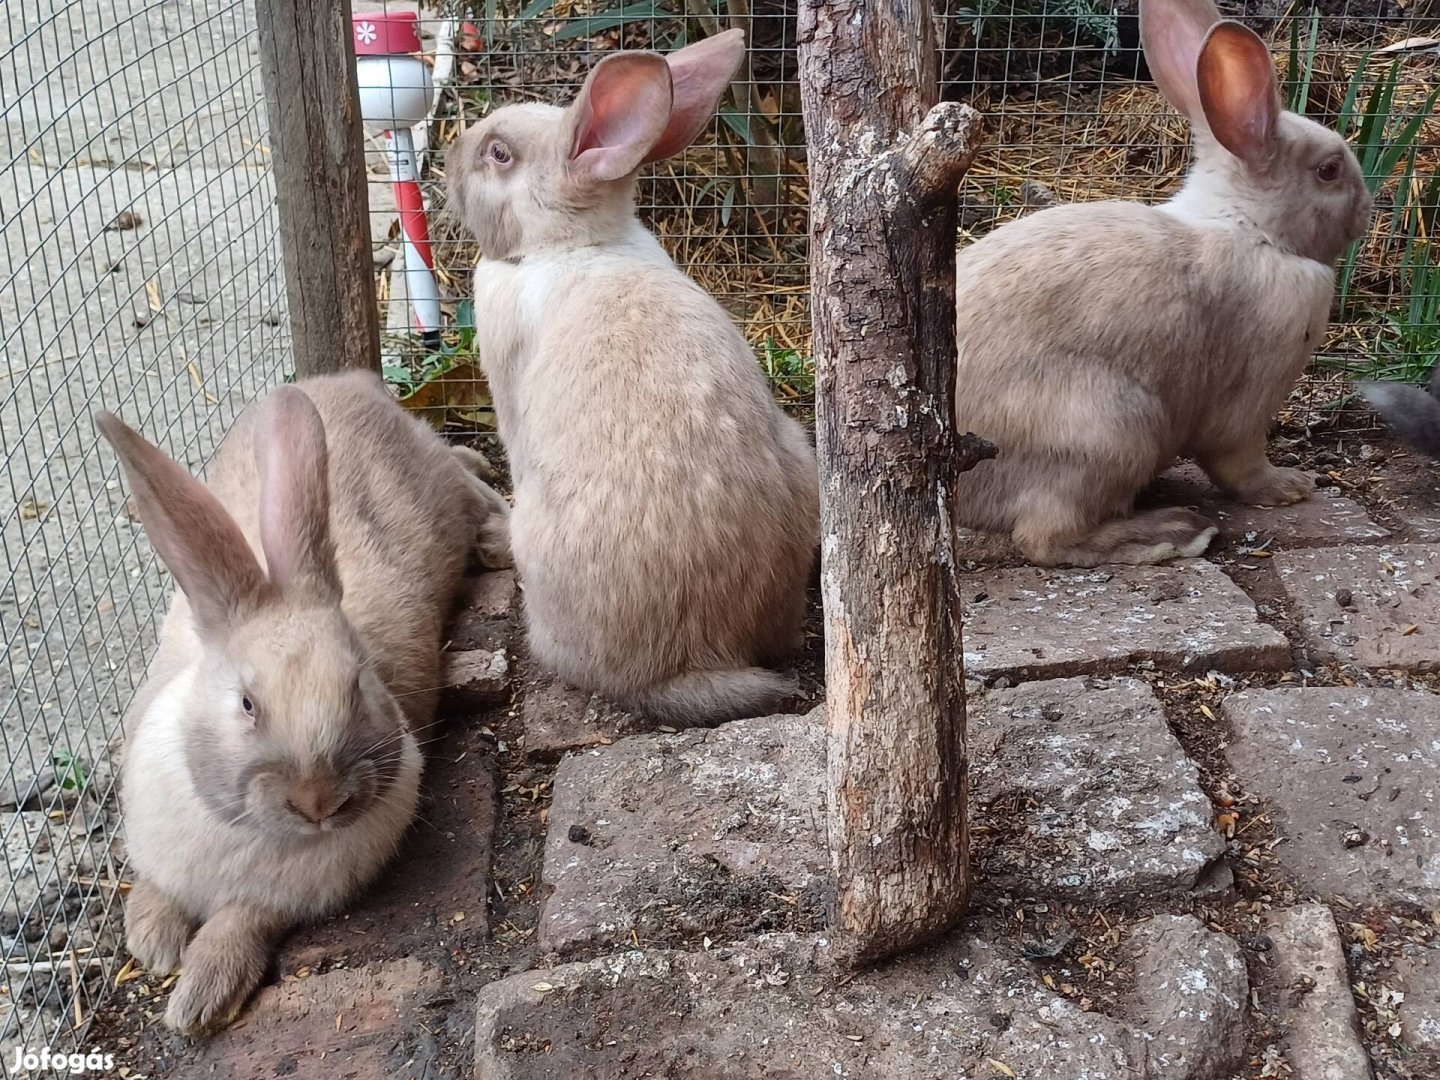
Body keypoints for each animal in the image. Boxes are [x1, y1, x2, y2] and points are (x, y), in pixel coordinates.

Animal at [98, 374, 509, 1042]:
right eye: (246, 703)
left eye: (359, 685)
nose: (320, 802)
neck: (245, 830)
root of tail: (348, 380)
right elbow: (153, 890)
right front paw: (153, 942)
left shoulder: (272, 906)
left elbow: (238, 924)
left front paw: (199, 997)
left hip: (439, 489)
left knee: (471, 484)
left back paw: (495, 534)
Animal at [956, 0, 1370, 570]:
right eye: (1329, 171)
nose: (1367, 210)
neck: (1253, 230)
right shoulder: (1249, 403)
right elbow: (1238, 461)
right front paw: (1290, 487)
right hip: (1109, 432)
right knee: (1045, 538)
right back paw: (1175, 531)